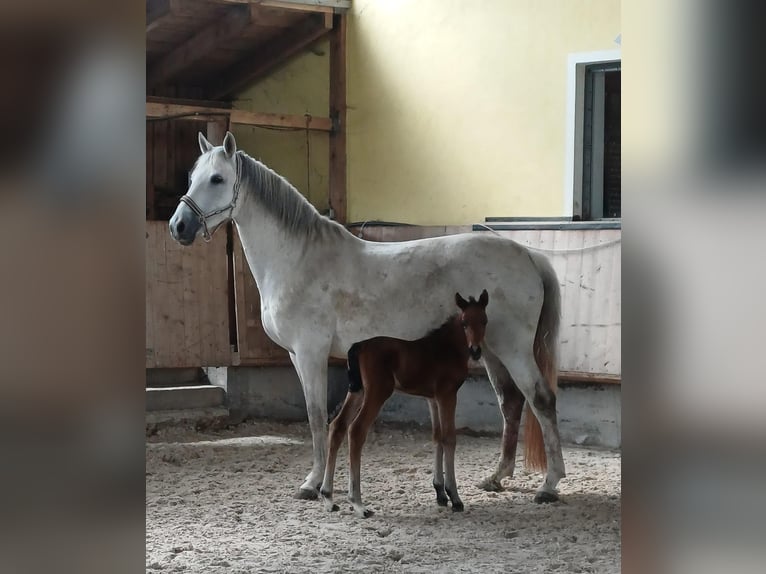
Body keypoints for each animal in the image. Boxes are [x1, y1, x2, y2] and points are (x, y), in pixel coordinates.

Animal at [321, 290, 489, 518]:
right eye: (464, 323)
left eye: (484, 320)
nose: (475, 351)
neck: (447, 348)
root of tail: (358, 346)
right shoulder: (447, 395)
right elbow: (449, 438)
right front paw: (455, 497)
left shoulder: (432, 398)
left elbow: (437, 436)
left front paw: (440, 493)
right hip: (377, 392)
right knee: (356, 430)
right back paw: (358, 503)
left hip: (356, 390)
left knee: (337, 426)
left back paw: (328, 497)